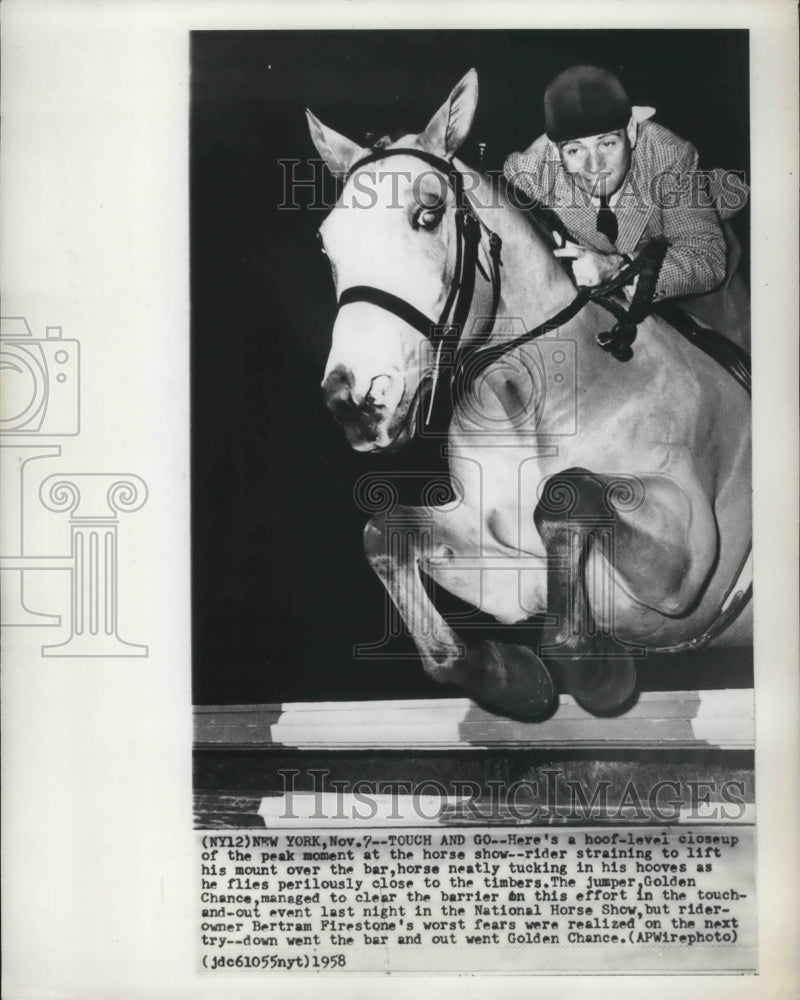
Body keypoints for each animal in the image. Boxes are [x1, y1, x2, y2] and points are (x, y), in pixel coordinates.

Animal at [306, 68, 752, 720]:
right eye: (326, 242)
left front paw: (595, 671)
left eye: (429, 213)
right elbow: (384, 533)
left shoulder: (687, 567)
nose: (355, 404)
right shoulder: (508, 568)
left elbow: (567, 494)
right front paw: (510, 676)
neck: (527, 397)